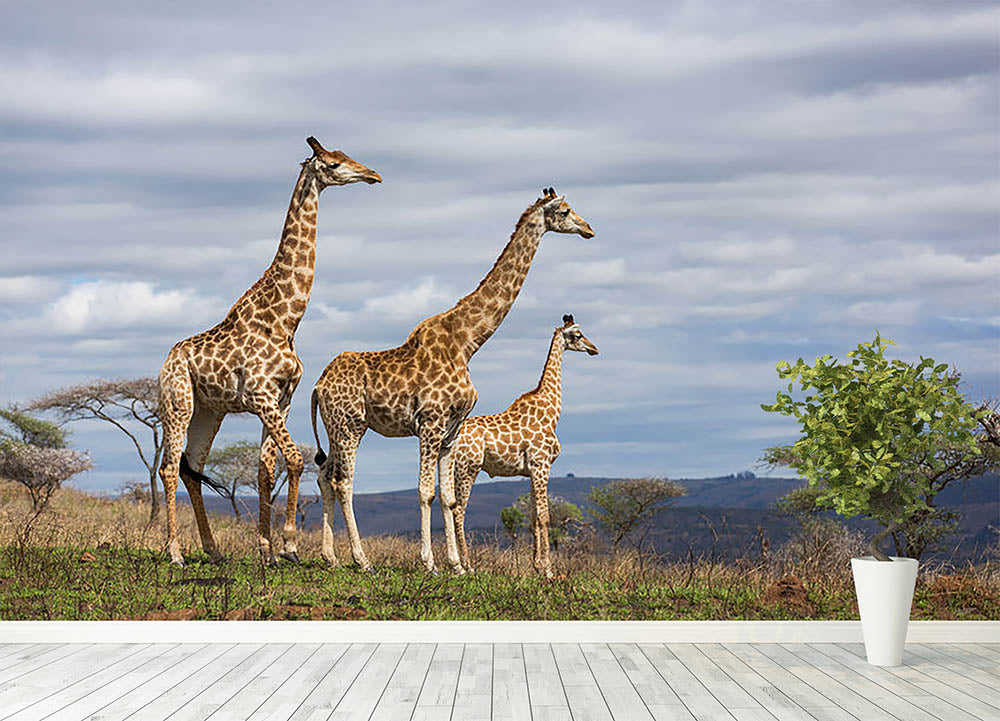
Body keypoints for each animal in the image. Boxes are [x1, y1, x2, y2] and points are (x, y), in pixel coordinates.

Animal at [157, 136, 381, 566]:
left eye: (347, 156)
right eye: (333, 163)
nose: (373, 174)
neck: (284, 320)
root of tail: (166, 361)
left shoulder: (282, 399)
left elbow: (266, 470)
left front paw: (267, 551)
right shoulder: (262, 396)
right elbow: (294, 459)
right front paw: (289, 545)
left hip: (210, 411)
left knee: (192, 467)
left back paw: (213, 550)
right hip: (177, 402)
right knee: (168, 468)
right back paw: (174, 552)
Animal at [451, 315, 598, 578]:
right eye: (578, 335)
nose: (594, 349)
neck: (551, 411)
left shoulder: (531, 470)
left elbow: (532, 517)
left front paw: (536, 565)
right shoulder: (542, 464)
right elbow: (545, 516)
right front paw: (548, 569)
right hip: (468, 467)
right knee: (459, 510)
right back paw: (468, 566)